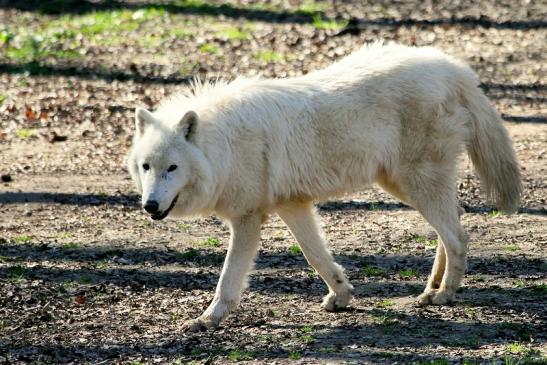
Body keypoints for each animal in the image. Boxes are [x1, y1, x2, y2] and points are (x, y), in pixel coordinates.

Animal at [127, 42, 524, 330]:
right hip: (406, 186)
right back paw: (431, 290)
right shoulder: (293, 205)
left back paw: (444, 296)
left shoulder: (248, 218)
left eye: (173, 168)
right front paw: (342, 296)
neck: (224, 145)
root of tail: (453, 67)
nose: (149, 206)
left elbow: (229, 278)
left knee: (458, 237)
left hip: (416, 185)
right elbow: (316, 256)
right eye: (146, 167)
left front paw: (207, 319)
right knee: (451, 229)